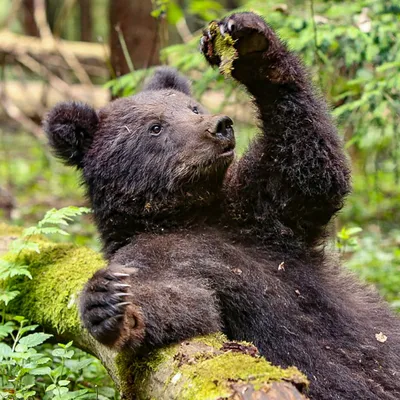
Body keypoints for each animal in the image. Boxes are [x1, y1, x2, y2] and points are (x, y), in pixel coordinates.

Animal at [44, 11, 400, 400]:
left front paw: (249, 43)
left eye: (193, 107)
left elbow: (311, 167)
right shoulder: (163, 255)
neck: (188, 213)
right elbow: (178, 298)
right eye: (155, 127)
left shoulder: (263, 213)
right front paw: (109, 306)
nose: (219, 126)